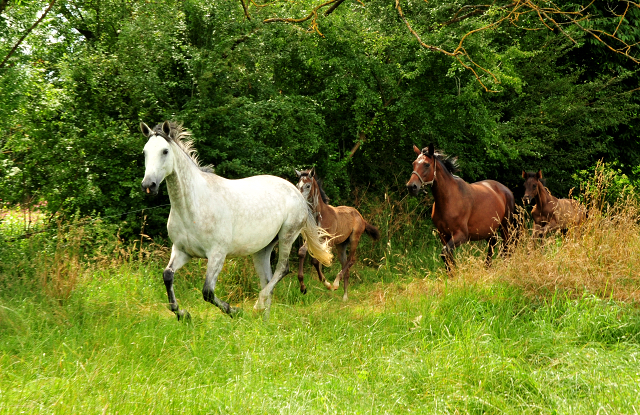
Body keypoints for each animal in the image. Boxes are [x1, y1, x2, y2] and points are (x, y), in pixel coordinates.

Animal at [139, 120, 330, 318]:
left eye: (165, 151)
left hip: (287, 236)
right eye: (145, 152)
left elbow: (207, 292)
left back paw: (257, 306)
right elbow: (167, 276)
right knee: (267, 280)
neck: (193, 206)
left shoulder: (217, 254)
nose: (148, 185)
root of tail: (297, 193)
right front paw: (183, 314)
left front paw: (235, 311)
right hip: (262, 248)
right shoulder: (182, 251)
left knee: (282, 270)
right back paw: (264, 321)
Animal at [296, 169, 380, 302]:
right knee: (346, 264)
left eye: (308, 185)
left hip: (354, 238)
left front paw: (328, 285)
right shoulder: (313, 239)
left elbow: (316, 260)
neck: (320, 215)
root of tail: (361, 217)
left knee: (351, 260)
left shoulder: (328, 240)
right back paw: (345, 296)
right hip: (341, 245)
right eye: (297, 184)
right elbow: (302, 252)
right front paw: (303, 288)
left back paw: (336, 285)